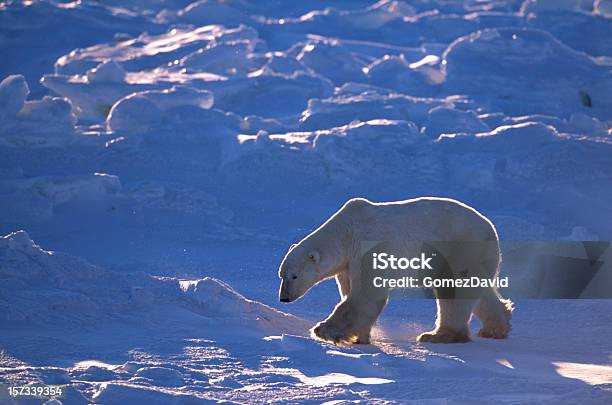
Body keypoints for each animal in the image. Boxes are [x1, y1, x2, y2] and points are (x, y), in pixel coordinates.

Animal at [280, 197, 512, 342]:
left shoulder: (368, 249)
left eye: (294, 276)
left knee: (455, 291)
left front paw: (324, 330)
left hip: (460, 247)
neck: (346, 233)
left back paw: (437, 335)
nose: (284, 298)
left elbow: (364, 295)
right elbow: (349, 291)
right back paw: (495, 328)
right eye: (281, 275)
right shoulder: (347, 264)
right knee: (480, 292)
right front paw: (361, 336)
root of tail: (491, 229)